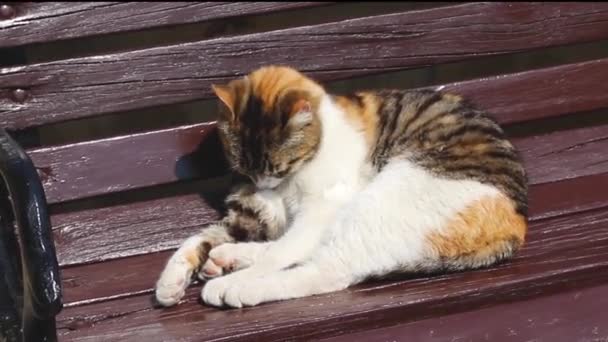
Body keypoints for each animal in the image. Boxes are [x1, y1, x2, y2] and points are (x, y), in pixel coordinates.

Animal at [156, 64, 528, 308]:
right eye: (244, 167)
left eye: (277, 165)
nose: (263, 183)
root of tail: (516, 226)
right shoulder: (257, 215)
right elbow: (204, 238)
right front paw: (172, 281)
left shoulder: (324, 205)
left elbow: (283, 251)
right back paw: (228, 258)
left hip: (384, 200)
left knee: (326, 270)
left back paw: (233, 286)